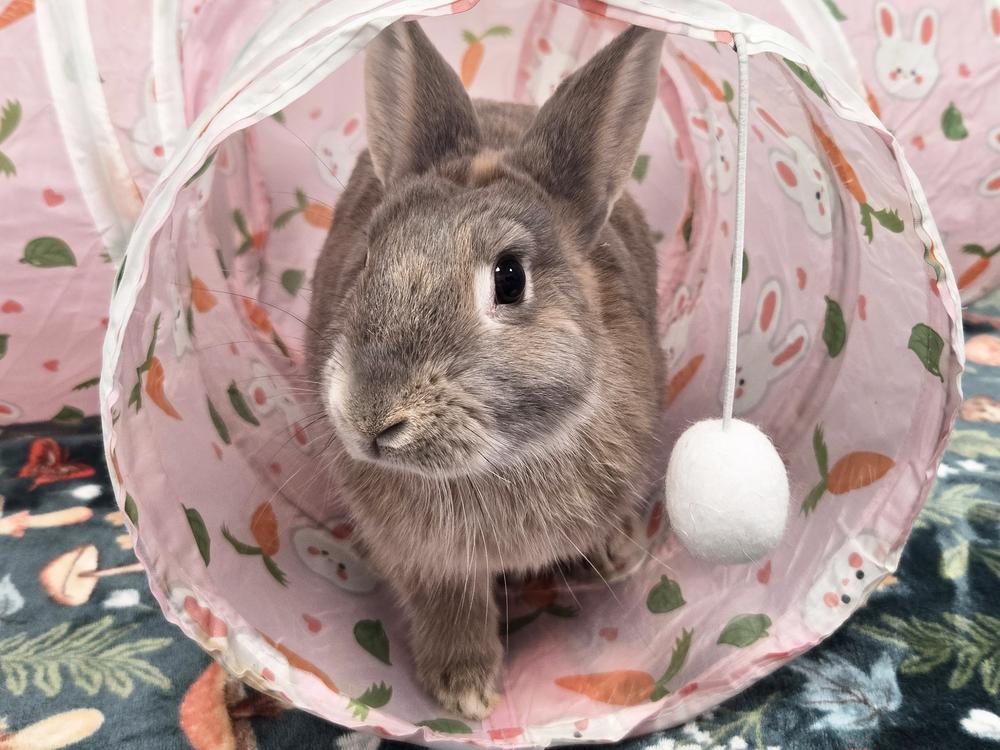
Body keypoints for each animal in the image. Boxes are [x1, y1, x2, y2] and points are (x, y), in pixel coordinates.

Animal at [305, 21, 665, 719]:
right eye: (367, 256)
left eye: (510, 278)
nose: (368, 419)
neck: (497, 461)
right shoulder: (424, 559)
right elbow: (450, 601)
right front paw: (468, 692)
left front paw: (623, 554)